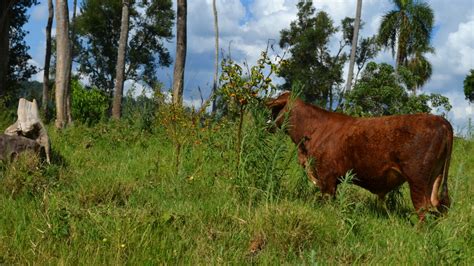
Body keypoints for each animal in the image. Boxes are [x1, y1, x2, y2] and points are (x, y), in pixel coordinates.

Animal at [264, 92, 454, 219]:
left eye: (275, 109)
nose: (267, 125)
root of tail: (441, 121)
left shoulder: (327, 177)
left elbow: (327, 201)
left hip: (417, 180)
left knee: (424, 210)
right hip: (435, 179)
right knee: (436, 208)